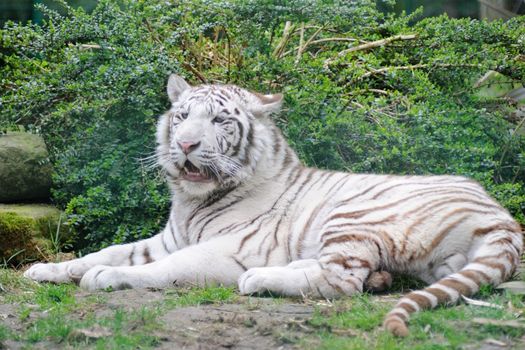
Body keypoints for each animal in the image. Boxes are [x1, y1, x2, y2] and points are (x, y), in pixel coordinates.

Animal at [25, 74, 524, 336]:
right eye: (182, 116)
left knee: (342, 281)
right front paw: (46, 269)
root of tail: (501, 216)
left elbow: (161, 268)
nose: (185, 144)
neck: (191, 201)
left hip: (352, 213)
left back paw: (260, 279)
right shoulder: (166, 239)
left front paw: (106, 277)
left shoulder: (227, 249)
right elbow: (106, 250)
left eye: (219, 120)